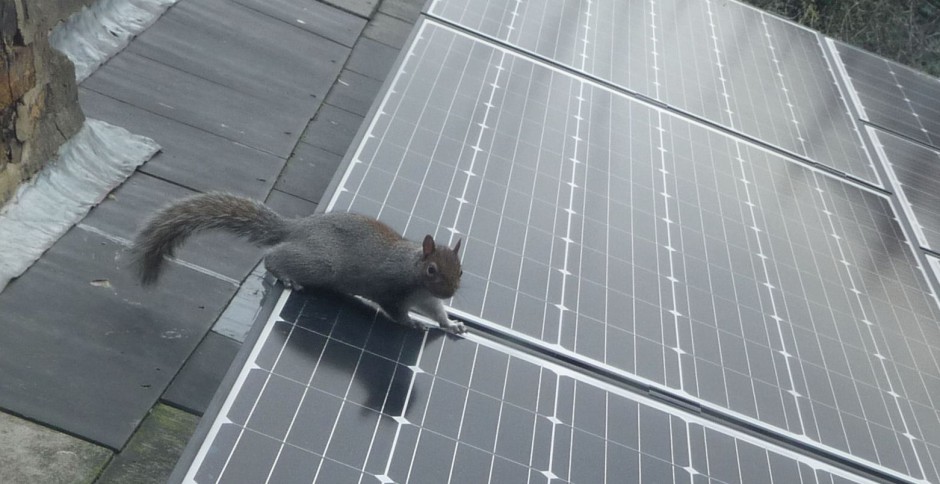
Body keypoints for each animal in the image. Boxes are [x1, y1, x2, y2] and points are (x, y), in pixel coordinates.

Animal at [130, 191, 468, 334]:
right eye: (432, 269)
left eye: (461, 270)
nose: (451, 291)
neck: (413, 270)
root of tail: (298, 228)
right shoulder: (391, 287)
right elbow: (395, 310)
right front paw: (411, 323)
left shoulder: (427, 299)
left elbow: (437, 312)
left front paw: (451, 324)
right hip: (322, 263)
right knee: (273, 256)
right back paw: (284, 274)